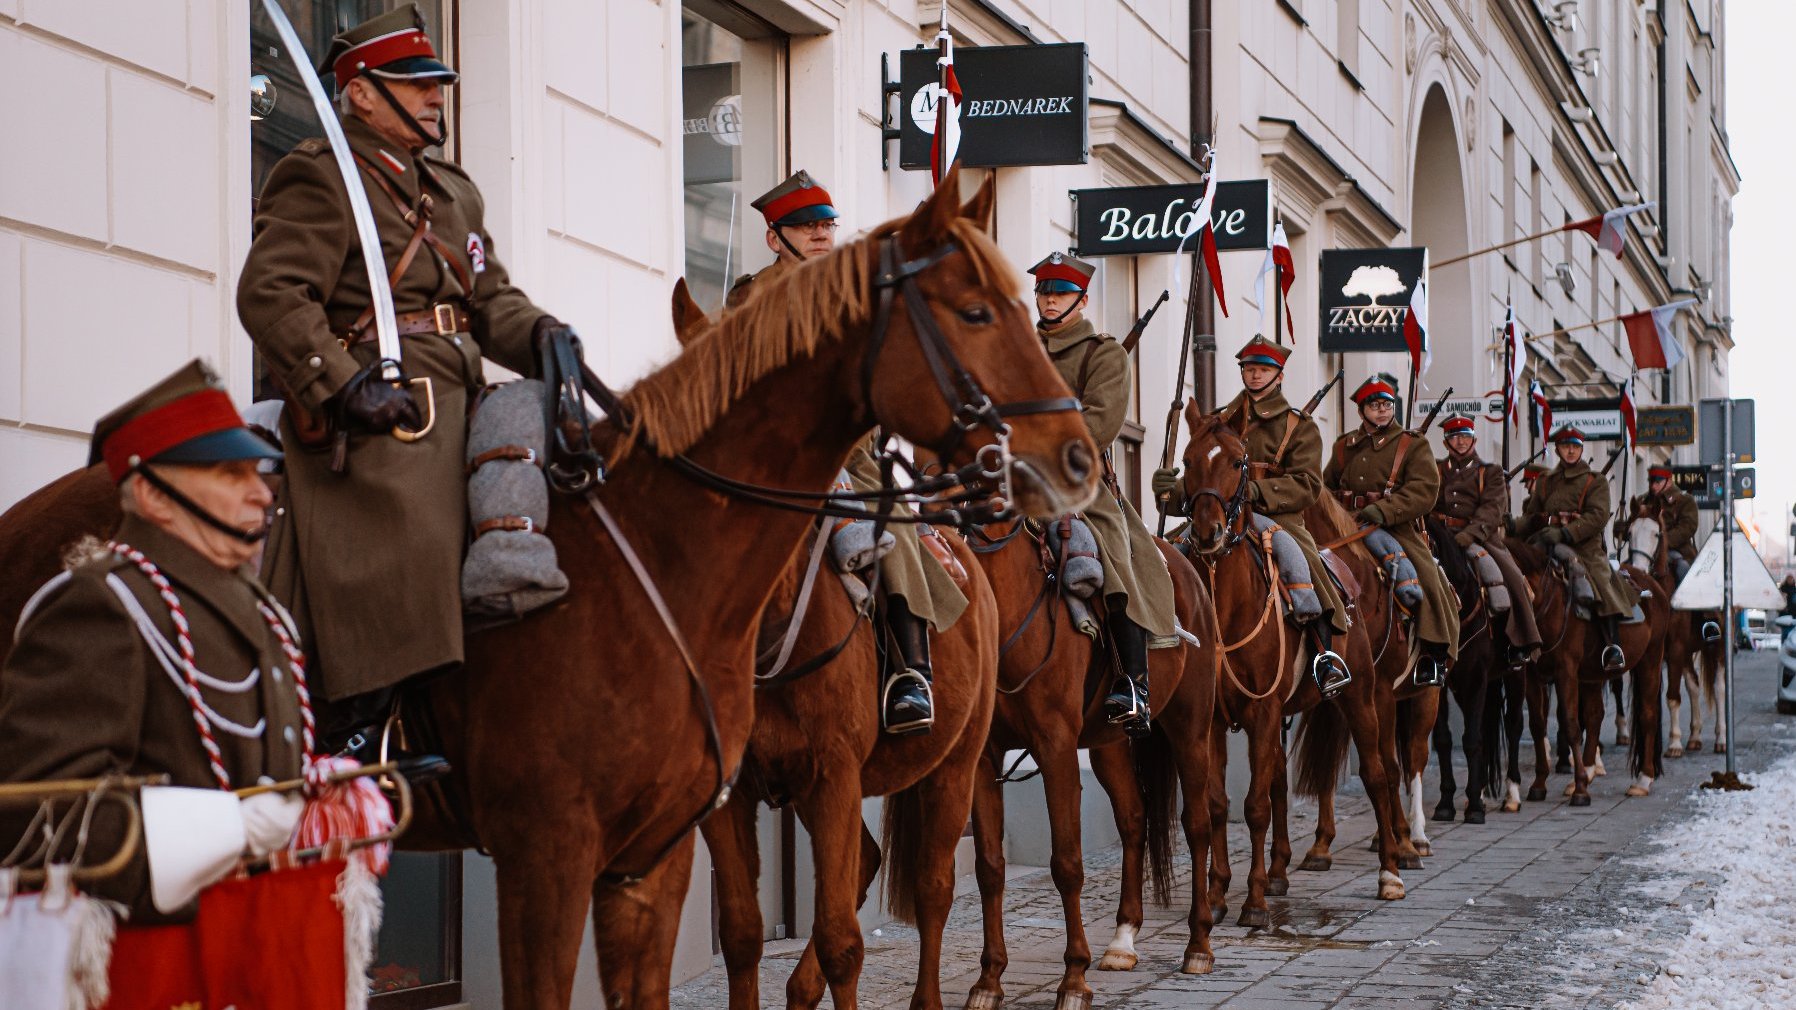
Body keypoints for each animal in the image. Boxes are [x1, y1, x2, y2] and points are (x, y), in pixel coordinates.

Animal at [0, 168, 1099, 999]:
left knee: (941, 881)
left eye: (1015, 304)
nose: (1078, 455)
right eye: (973, 309)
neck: (659, 568)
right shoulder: (563, 851)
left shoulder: (687, 834)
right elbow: (752, 933)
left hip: (957, 761)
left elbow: (810, 935)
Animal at [962, 510, 1214, 1006]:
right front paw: (989, 980)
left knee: (1197, 824)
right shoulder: (984, 759)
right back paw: (1123, 941)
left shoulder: (1056, 748)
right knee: (1134, 818)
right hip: (1108, 744)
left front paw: (1074, 979)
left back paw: (1198, 946)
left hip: (1191, 729)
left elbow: (1067, 863)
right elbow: (990, 869)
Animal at [1178, 402, 1415, 920]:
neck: (1227, 608)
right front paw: (1218, 894)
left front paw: (1254, 902)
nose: (1206, 532)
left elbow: (1256, 806)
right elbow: (1220, 803)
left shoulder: (1264, 713)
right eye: (1186, 461)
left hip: (1363, 696)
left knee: (1378, 773)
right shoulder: (1212, 722)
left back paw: (1391, 870)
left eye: (1237, 461)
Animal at [1616, 506, 1724, 751]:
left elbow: (1672, 696)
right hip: (1686, 652)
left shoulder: (1674, 649)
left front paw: (1674, 742)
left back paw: (1721, 738)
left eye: (1656, 533)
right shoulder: (1660, 652)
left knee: (1719, 686)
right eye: (1629, 533)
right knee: (1693, 685)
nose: (1638, 570)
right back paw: (1694, 736)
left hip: (1717, 646)